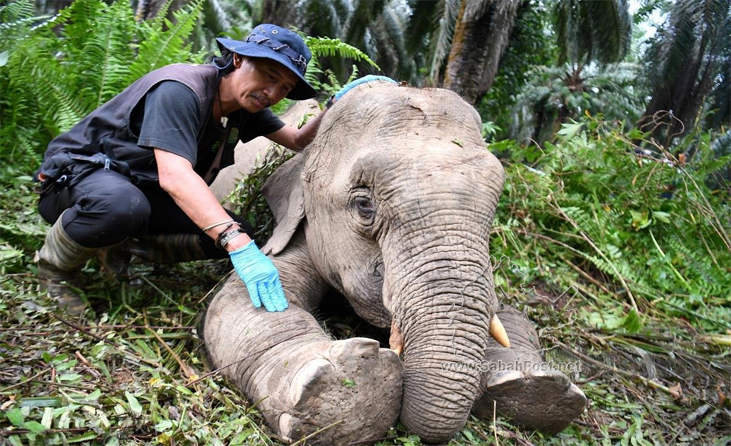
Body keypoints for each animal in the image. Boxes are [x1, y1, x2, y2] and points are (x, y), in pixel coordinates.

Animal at [202, 82, 588, 444]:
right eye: (364, 205)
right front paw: (345, 388)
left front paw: (537, 388)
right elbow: (238, 303)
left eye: (492, 210)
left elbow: (508, 313)